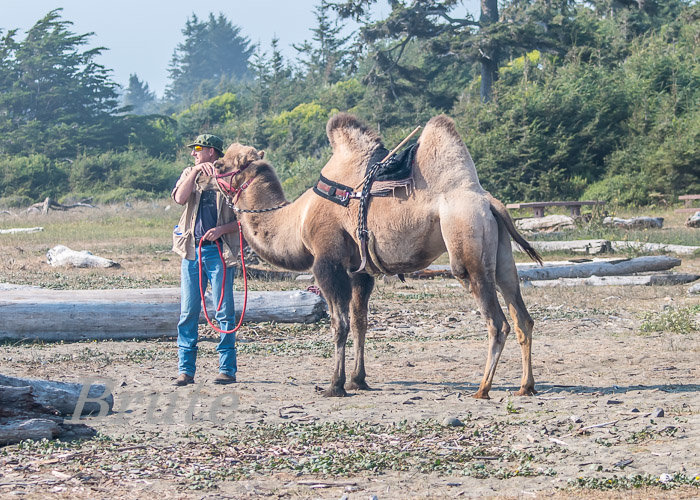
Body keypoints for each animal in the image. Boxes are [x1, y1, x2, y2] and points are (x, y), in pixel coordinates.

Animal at [216, 113, 544, 398]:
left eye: (219, 166)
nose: (206, 173)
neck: (298, 219)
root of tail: (488, 201)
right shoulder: (359, 270)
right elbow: (360, 321)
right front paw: (358, 380)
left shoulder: (327, 262)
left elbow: (339, 323)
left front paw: (334, 385)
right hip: (500, 253)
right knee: (522, 316)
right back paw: (525, 386)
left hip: (467, 245)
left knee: (497, 322)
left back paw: (482, 389)